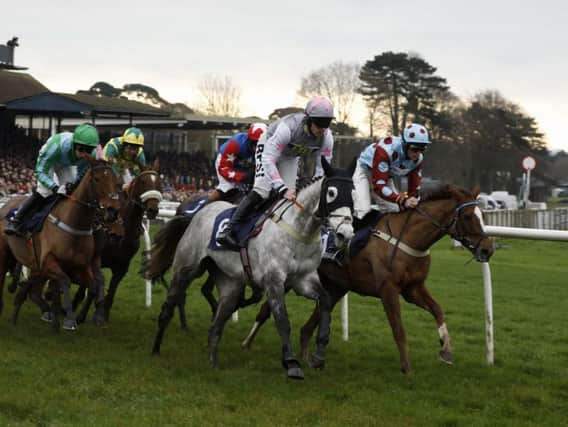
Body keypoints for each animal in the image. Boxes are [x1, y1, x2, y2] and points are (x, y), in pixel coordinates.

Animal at [0, 160, 120, 332]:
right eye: (97, 179)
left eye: (117, 183)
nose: (113, 212)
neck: (74, 223)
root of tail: (7, 203)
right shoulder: (49, 262)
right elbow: (65, 282)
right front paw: (69, 319)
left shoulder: (81, 266)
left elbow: (96, 284)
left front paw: (97, 315)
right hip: (5, 254)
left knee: (29, 289)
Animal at [152, 158, 356, 382]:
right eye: (332, 193)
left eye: (353, 193)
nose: (346, 234)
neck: (299, 232)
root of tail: (198, 212)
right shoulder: (274, 280)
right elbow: (282, 320)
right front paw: (291, 363)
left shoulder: (303, 280)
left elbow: (325, 301)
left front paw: (318, 355)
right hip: (186, 268)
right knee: (170, 305)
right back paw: (156, 349)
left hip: (230, 283)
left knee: (217, 323)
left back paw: (213, 363)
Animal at [242, 186, 494, 372]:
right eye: (469, 217)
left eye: (483, 216)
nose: (488, 250)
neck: (408, 238)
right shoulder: (388, 289)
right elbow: (399, 330)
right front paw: (406, 368)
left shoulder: (413, 288)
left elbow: (438, 310)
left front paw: (446, 349)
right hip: (288, 279)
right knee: (265, 310)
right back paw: (247, 343)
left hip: (335, 288)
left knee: (307, 326)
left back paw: (306, 357)